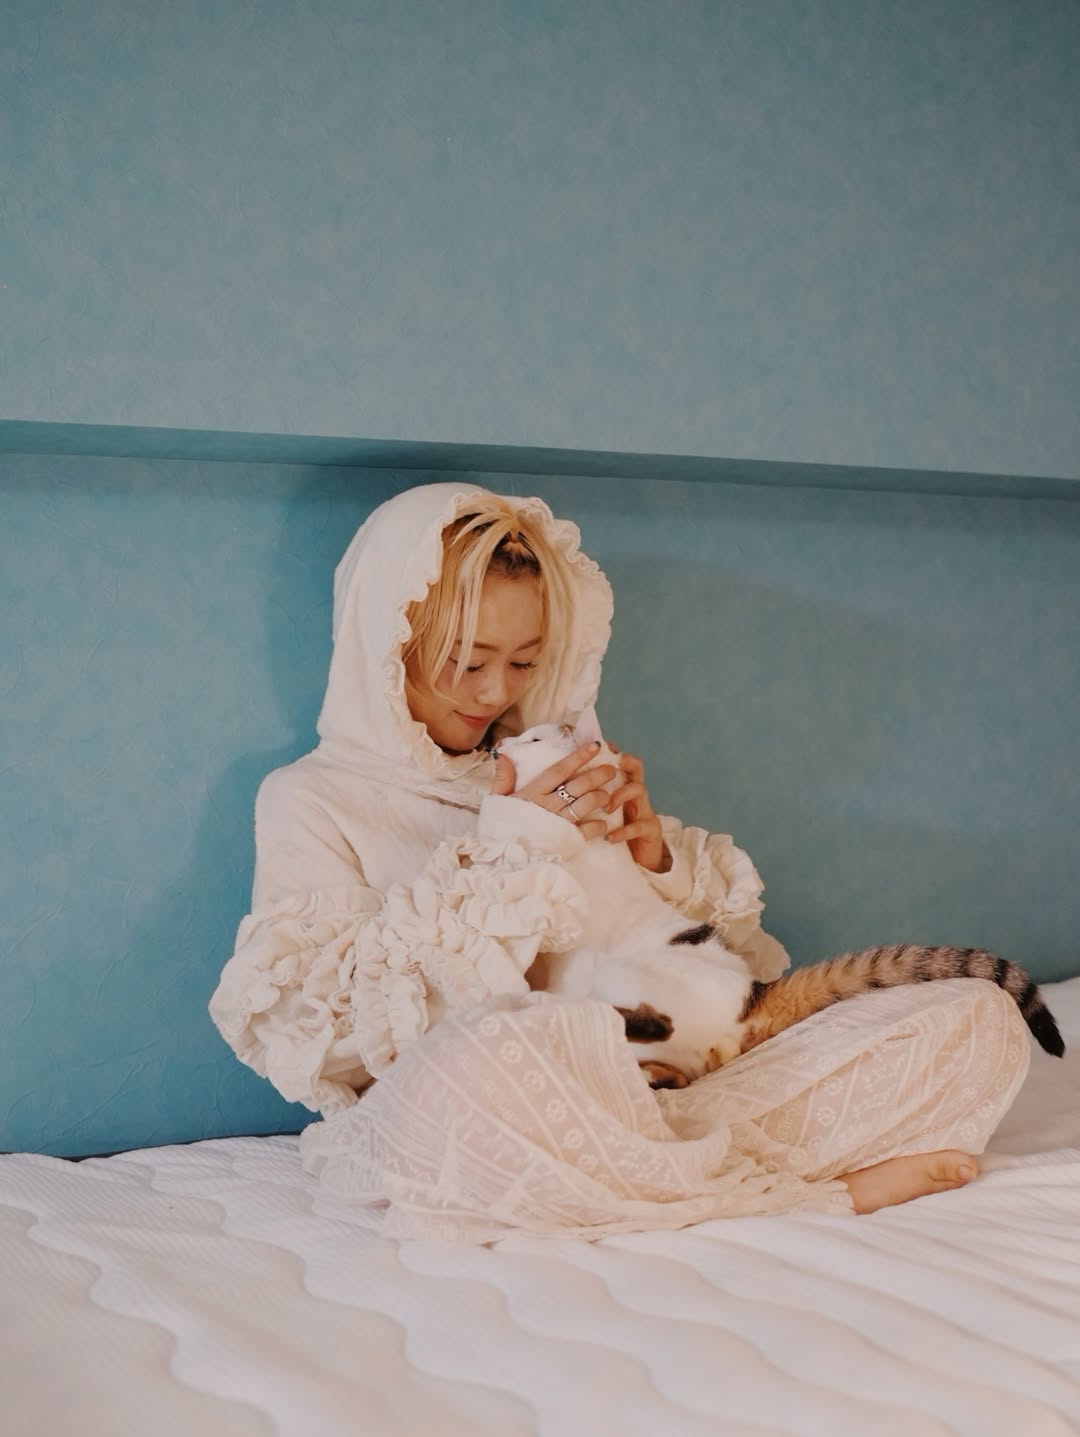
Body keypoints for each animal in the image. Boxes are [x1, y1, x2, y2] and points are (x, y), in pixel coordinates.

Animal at [495, 710, 1065, 1087]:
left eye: (535, 736)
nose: (499, 745)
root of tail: (752, 998)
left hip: (625, 974)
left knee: (648, 1022)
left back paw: (553, 1009)